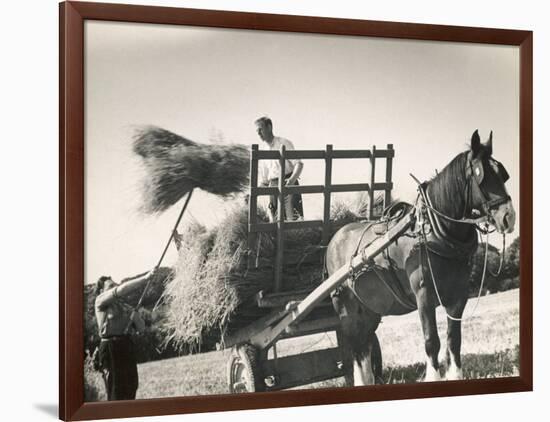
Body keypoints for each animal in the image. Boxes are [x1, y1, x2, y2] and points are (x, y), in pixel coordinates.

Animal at [326, 130, 516, 384]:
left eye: (502, 174)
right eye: (480, 175)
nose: (509, 217)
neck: (434, 231)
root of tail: (335, 238)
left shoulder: (459, 295)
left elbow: (454, 339)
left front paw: (455, 375)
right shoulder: (423, 294)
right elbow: (431, 340)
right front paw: (433, 377)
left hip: (370, 309)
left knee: (365, 344)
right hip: (346, 306)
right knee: (355, 345)